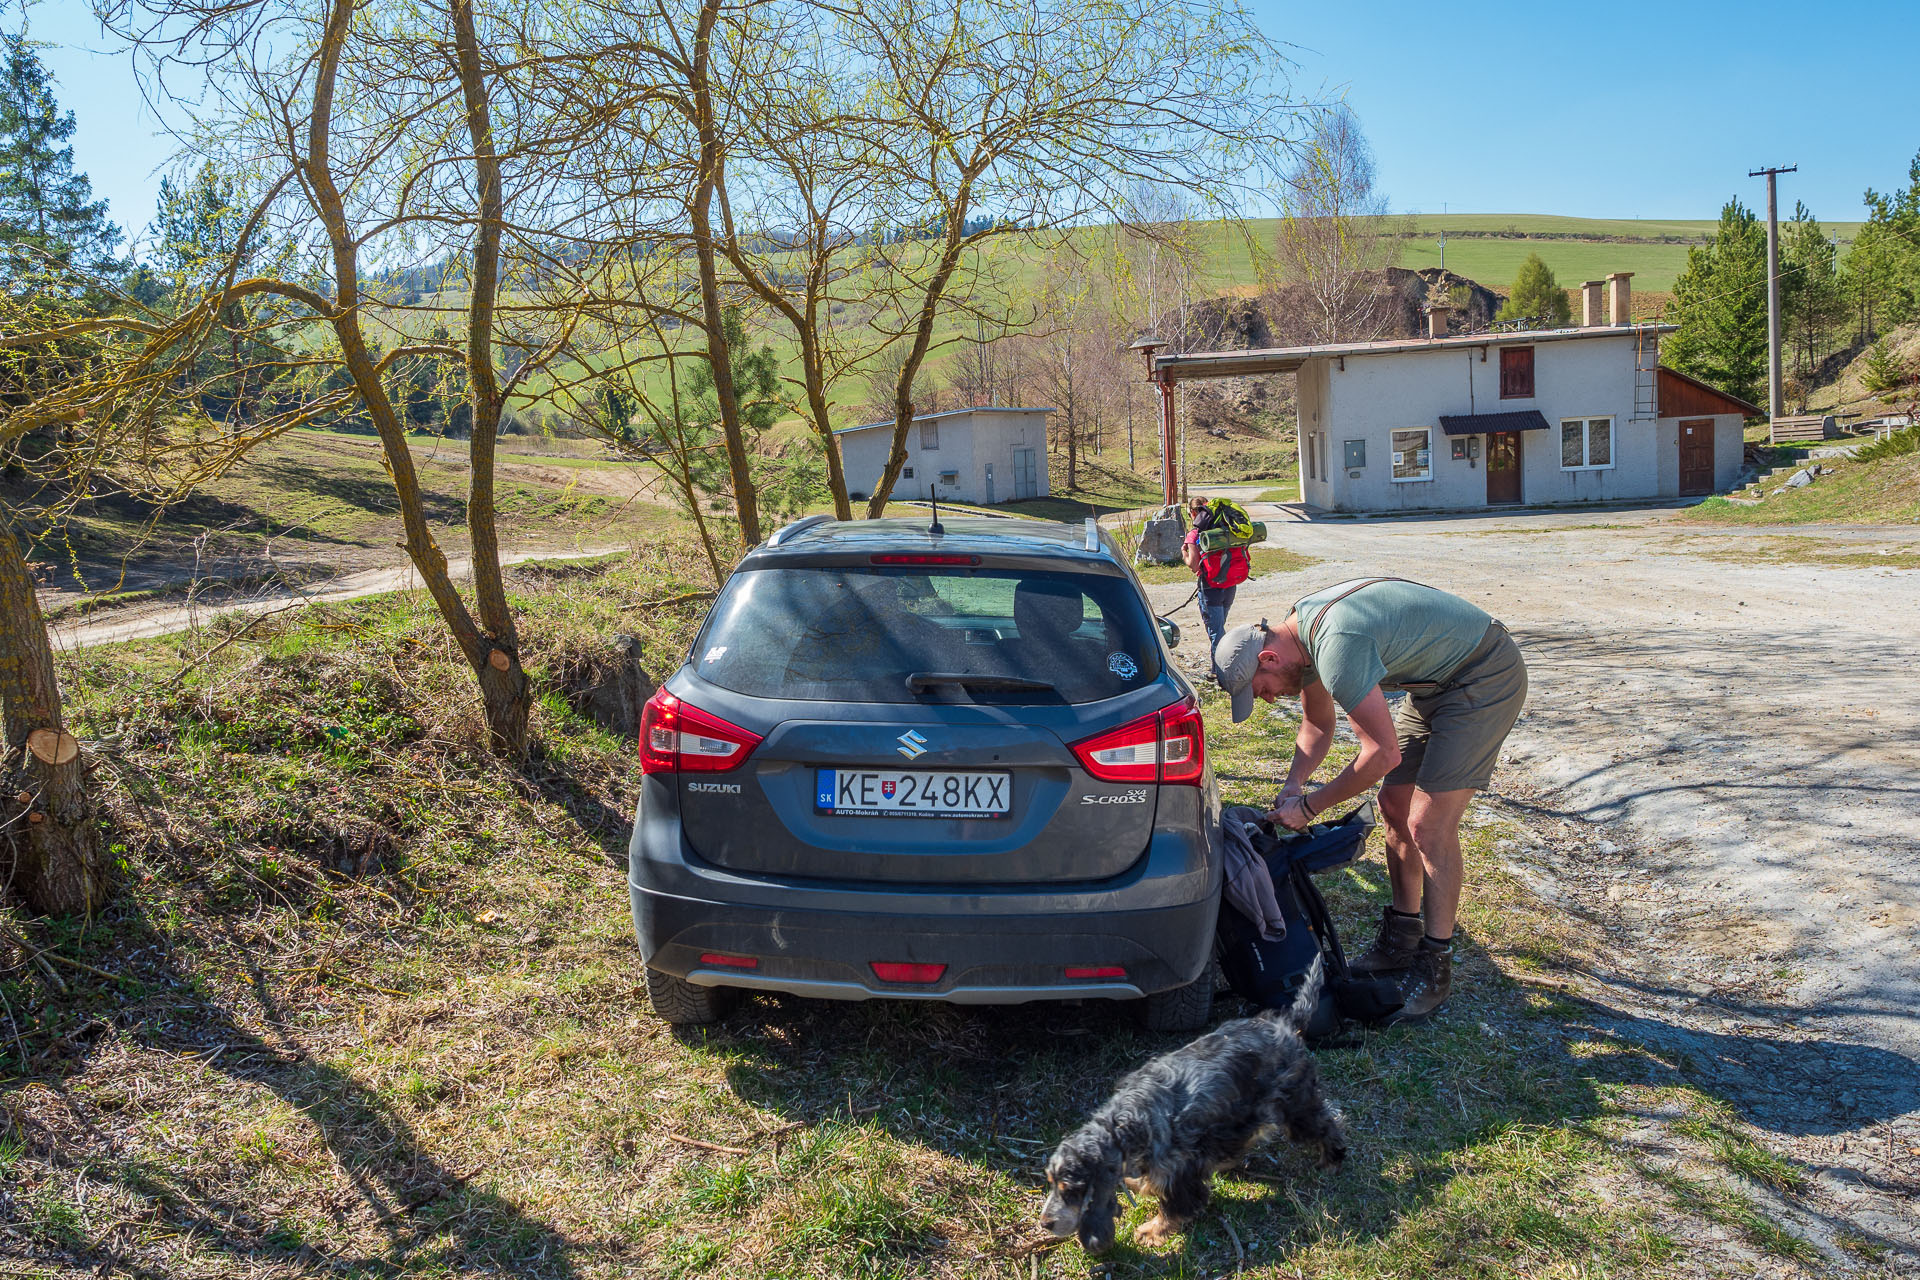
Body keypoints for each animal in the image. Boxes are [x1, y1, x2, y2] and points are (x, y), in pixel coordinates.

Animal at [1044, 959, 1344, 1251]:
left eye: (1070, 1189)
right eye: (1051, 1183)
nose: (1045, 1223)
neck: (1125, 1124)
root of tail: (1287, 1024)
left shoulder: (1180, 1171)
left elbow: (1176, 1206)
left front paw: (1151, 1231)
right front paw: (1137, 1184)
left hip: (1295, 1105)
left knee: (1328, 1122)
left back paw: (1331, 1161)